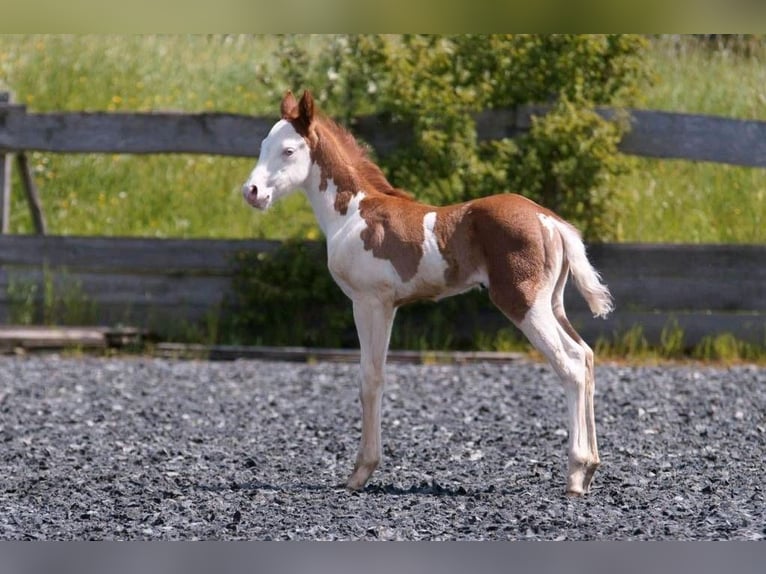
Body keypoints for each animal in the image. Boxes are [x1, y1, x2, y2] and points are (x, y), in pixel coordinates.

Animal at [243, 89, 616, 496]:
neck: (353, 213)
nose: (252, 192)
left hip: (524, 303)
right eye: (262, 146)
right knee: (586, 355)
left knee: (571, 365)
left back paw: (576, 474)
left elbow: (370, 379)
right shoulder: (387, 305)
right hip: (552, 303)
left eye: (289, 150)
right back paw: (591, 467)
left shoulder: (371, 302)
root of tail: (550, 220)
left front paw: (360, 473)